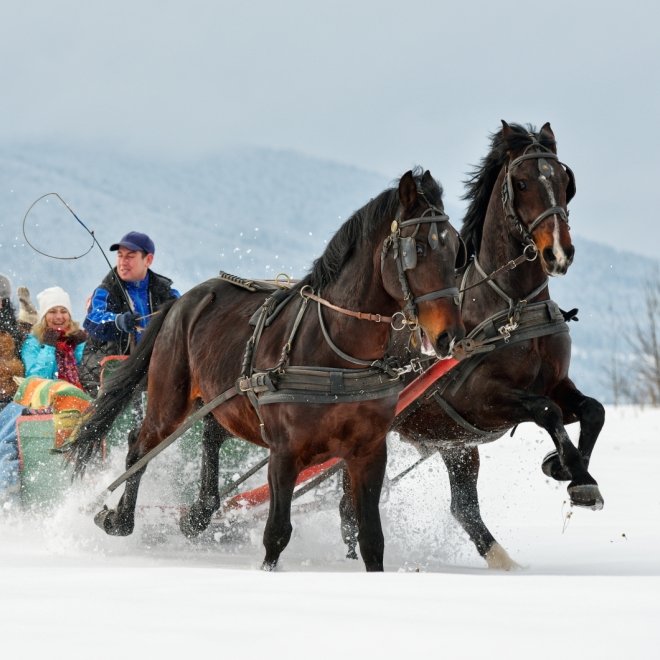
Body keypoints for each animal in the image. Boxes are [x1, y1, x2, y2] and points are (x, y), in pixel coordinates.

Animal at [71, 168, 464, 568]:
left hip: (223, 399)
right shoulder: (285, 452)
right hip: (169, 398)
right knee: (140, 446)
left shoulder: (368, 451)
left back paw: (197, 513)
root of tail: (181, 302)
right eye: (418, 249)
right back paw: (119, 518)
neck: (337, 356)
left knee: (210, 436)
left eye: (455, 249)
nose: (449, 335)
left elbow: (371, 539)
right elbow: (276, 534)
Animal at [350, 122, 604, 568]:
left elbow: (593, 410)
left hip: (454, 444)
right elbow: (548, 411)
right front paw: (571, 470)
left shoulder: (556, 383)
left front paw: (569, 471)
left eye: (564, 181)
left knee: (462, 507)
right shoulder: (483, 400)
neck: (509, 306)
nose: (558, 253)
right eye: (522, 182)